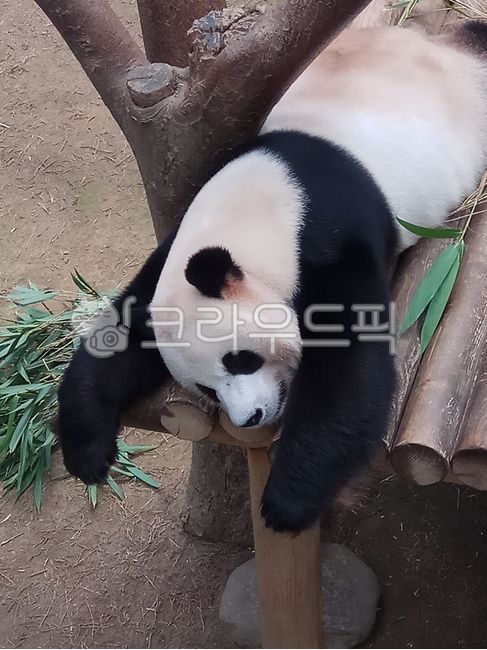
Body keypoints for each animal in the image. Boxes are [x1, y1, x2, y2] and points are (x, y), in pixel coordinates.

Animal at [58, 23, 487, 533]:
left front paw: (287, 501)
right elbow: (123, 327)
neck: (261, 205)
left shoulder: (328, 236)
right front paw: (86, 450)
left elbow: (349, 367)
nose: (250, 417)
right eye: (206, 388)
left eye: (240, 360)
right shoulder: (174, 259)